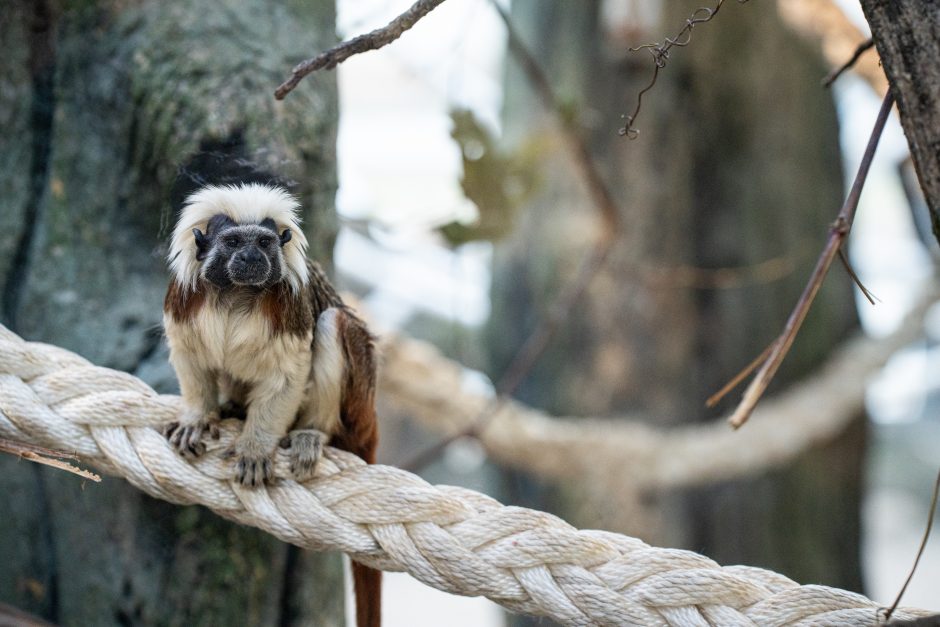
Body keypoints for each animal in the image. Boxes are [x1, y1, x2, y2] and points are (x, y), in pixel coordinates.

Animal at [165, 182, 382, 627]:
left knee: (334, 323)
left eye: (264, 243)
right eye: (233, 242)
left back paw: (310, 435)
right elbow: (191, 357)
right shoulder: (185, 299)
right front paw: (197, 417)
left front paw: (254, 448)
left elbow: (287, 375)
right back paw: (231, 408)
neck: (235, 295)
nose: (251, 258)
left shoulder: (288, 308)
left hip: (357, 406)